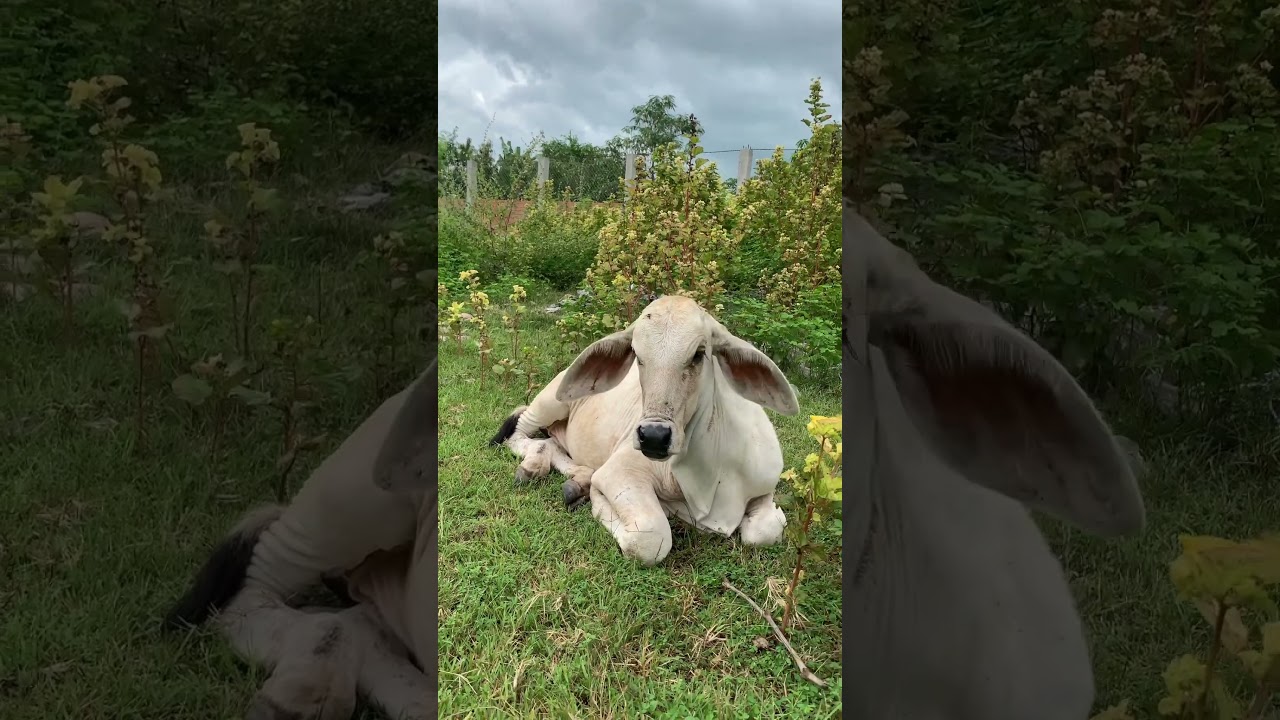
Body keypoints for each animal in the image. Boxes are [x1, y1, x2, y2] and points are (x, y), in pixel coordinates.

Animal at [492, 294, 802, 565]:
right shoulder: (620, 472)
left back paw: (577, 481)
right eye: (637, 355)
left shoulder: (766, 488)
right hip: (549, 402)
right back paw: (534, 467)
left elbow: (765, 532)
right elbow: (651, 539)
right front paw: (596, 499)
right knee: (518, 434)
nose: (653, 437)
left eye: (699, 354)